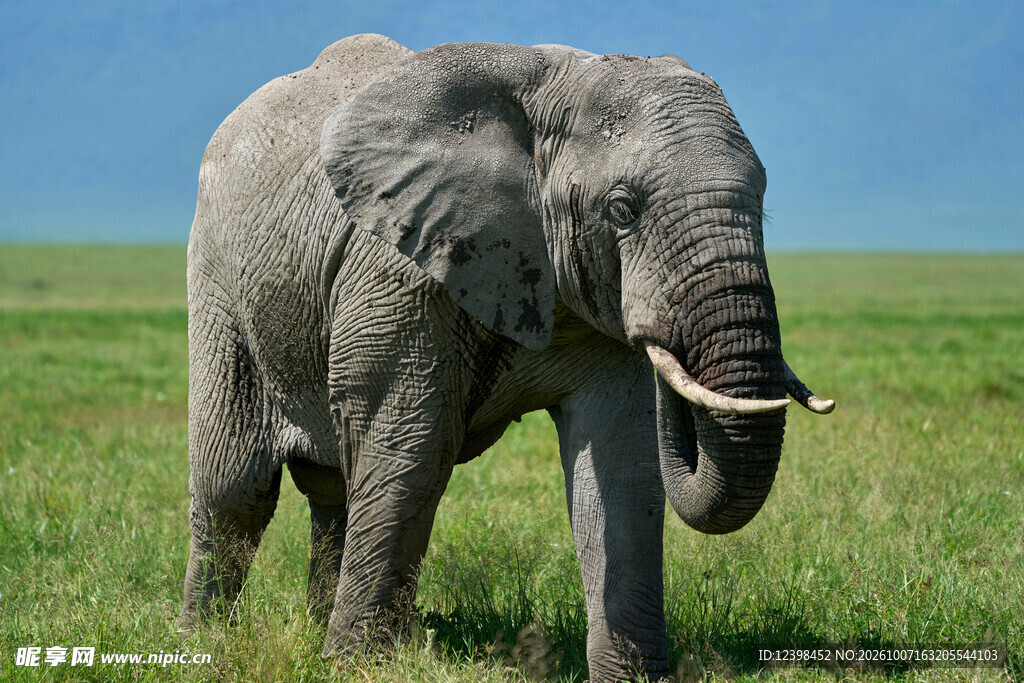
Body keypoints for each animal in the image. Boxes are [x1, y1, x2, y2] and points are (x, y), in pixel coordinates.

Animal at [179, 33, 833, 681]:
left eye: (764, 201)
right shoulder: (403, 273)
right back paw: (203, 644)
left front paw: (631, 678)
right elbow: (410, 449)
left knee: (332, 489)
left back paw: (315, 630)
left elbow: (620, 464)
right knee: (234, 488)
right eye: (622, 210)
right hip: (219, 280)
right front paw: (357, 668)